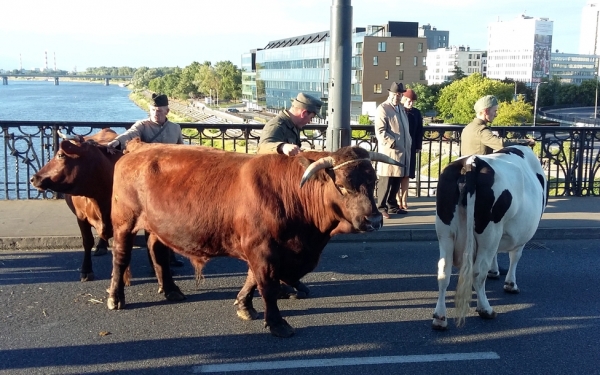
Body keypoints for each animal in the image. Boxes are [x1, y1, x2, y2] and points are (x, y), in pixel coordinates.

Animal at [107, 140, 398, 338]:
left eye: (372, 181)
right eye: (342, 186)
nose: (374, 220)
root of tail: (141, 147)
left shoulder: (267, 250)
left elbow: (252, 279)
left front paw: (244, 305)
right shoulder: (262, 249)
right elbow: (267, 285)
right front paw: (277, 323)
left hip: (157, 226)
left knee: (157, 251)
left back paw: (170, 290)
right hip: (124, 221)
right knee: (121, 257)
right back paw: (115, 298)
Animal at [434, 145, 548, 330]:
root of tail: (472, 162)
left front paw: (495, 271)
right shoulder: (521, 236)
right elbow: (515, 256)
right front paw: (510, 284)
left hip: (445, 232)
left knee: (444, 272)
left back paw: (439, 318)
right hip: (489, 231)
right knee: (477, 272)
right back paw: (486, 309)